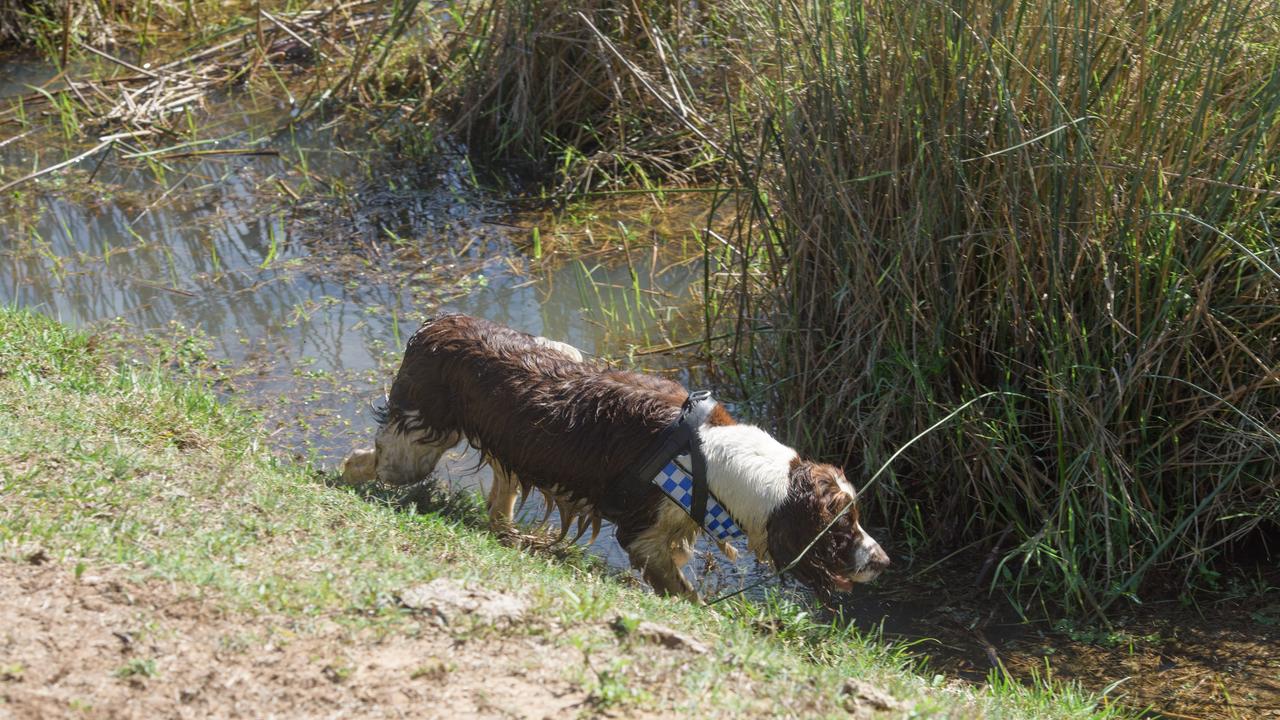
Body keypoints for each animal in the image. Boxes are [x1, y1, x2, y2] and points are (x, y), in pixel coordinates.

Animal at [337, 311, 890, 597]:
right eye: (841, 527)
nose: (883, 560)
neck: (712, 457)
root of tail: (436, 324)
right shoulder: (644, 534)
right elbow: (684, 592)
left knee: (499, 504)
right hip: (413, 448)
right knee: (364, 462)